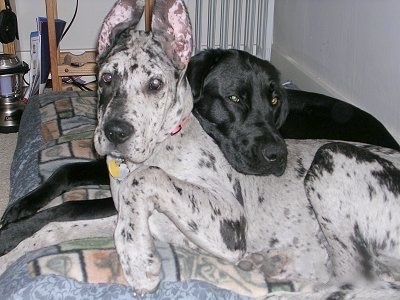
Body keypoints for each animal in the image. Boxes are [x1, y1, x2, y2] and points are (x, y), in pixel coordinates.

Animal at [0, 0, 400, 296]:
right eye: (107, 78)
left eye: (156, 84)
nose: (115, 132)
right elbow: (56, 227)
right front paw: (12, 248)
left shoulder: (227, 218)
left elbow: (147, 178)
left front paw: (138, 260)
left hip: (331, 154)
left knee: (353, 280)